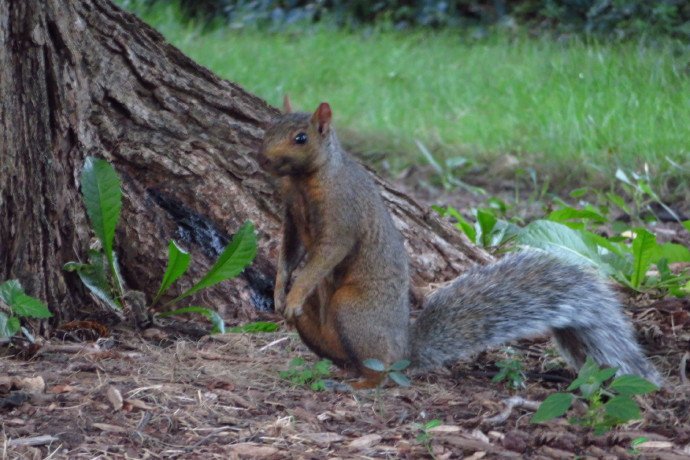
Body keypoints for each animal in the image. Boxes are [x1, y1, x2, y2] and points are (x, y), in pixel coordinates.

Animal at [258, 99, 660, 390]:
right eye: (269, 127)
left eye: (300, 138)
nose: (262, 158)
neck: (306, 181)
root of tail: (405, 350)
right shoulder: (292, 217)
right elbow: (289, 253)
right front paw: (279, 291)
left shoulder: (342, 217)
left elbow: (323, 257)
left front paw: (294, 294)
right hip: (320, 329)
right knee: (344, 357)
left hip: (354, 310)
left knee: (381, 371)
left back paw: (361, 382)